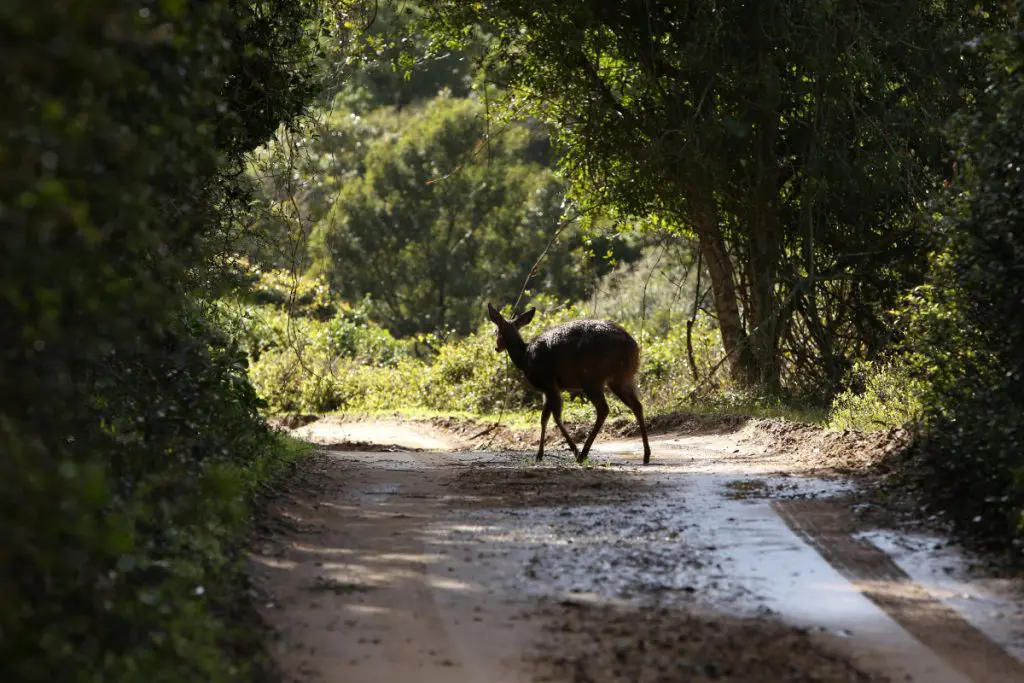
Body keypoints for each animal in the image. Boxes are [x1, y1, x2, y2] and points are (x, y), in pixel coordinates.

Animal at [486, 303, 652, 465]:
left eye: (496, 331)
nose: (496, 347)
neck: (524, 358)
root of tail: (632, 347)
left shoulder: (548, 382)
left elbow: (556, 417)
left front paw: (573, 451)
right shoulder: (549, 389)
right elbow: (544, 418)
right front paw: (539, 455)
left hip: (591, 376)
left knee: (603, 409)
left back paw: (583, 454)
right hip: (621, 378)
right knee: (637, 405)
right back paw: (646, 454)